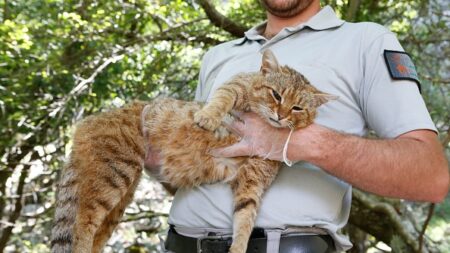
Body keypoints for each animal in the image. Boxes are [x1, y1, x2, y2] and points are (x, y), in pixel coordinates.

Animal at [51, 50, 336, 253]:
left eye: (297, 108)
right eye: (276, 95)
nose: (281, 115)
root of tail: (88, 121)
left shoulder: (251, 182)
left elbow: (245, 217)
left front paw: (238, 247)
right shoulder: (236, 84)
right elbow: (222, 98)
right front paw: (207, 117)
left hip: (120, 197)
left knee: (93, 229)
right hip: (114, 173)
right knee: (83, 221)